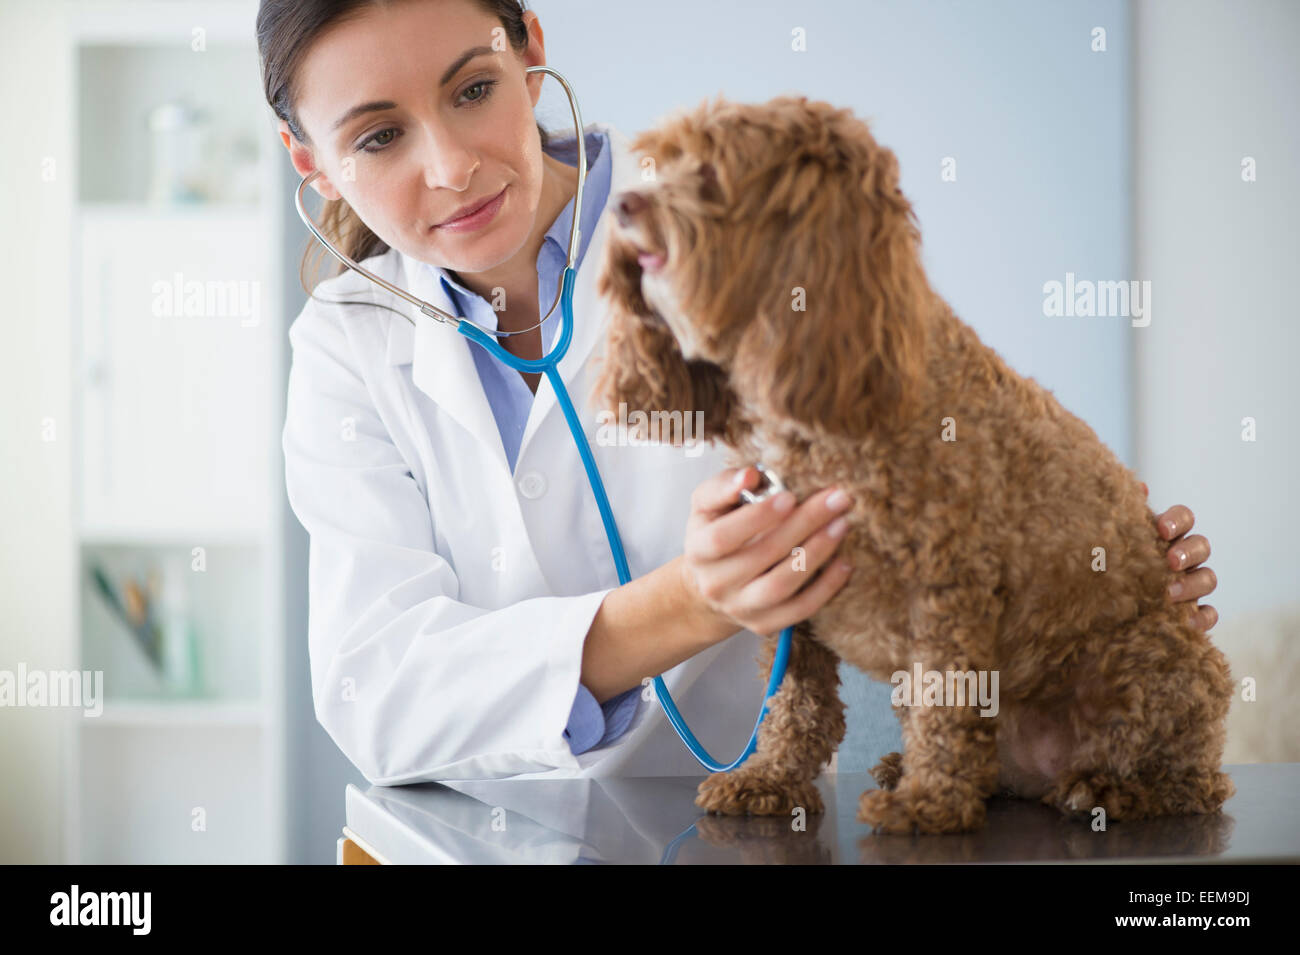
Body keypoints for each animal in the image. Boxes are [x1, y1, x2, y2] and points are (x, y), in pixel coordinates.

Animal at [595, 93, 1232, 831]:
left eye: (712, 173)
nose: (623, 205)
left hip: (1150, 661)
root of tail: (1041, 768)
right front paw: (770, 779)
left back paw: (1107, 788)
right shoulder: (791, 600)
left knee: (1192, 780)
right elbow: (794, 701)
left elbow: (942, 699)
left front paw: (927, 804)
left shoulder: (950, 588)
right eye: (656, 165)